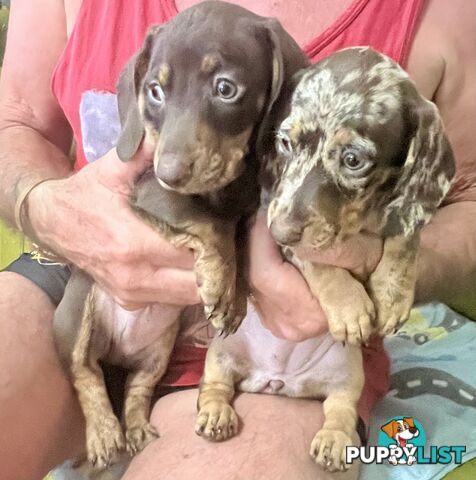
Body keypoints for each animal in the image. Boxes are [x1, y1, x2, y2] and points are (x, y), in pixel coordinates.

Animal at [54, 0, 308, 468]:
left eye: (226, 89)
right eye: (155, 90)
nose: (169, 172)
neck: (229, 184)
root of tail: (117, 352)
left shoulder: (247, 209)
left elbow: (238, 236)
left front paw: (234, 295)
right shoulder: (152, 195)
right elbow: (208, 222)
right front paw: (219, 281)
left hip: (157, 353)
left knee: (137, 387)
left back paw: (136, 427)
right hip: (77, 312)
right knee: (84, 372)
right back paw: (103, 434)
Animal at [196, 47, 454, 470]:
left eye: (353, 160)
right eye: (285, 142)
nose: (280, 232)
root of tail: (279, 381)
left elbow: (405, 235)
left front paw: (392, 293)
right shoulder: (274, 213)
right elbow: (316, 261)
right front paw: (349, 305)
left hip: (348, 375)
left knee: (340, 409)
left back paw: (334, 440)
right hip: (221, 354)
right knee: (216, 385)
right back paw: (216, 414)